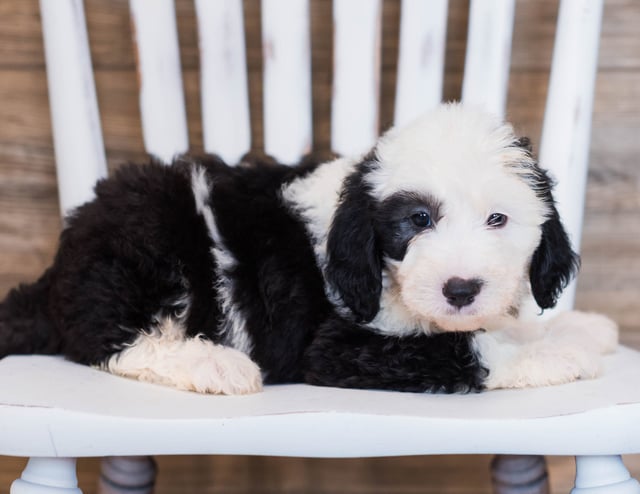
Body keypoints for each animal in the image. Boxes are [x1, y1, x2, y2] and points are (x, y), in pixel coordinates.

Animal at [1, 103, 620, 394]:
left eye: (499, 219)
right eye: (416, 221)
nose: (461, 290)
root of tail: (59, 264)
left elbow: (501, 327)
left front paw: (580, 328)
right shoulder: (339, 345)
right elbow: (471, 348)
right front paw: (559, 355)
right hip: (147, 242)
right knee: (115, 339)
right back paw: (215, 364)